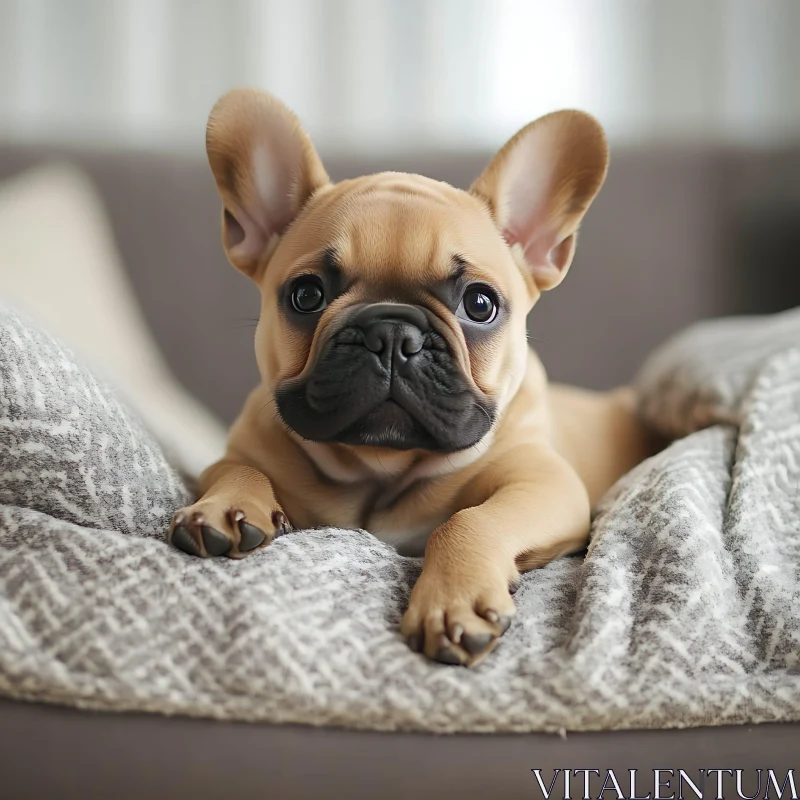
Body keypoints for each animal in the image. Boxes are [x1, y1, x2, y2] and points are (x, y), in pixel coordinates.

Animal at [170, 87, 656, 664]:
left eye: (480, 304)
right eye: (306, 295)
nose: (392, 335)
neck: (382, 468)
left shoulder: (543, 482)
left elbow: (469, 519)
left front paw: (453, 601)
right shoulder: (242, 450)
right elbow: (235, 469)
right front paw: (224, 507)